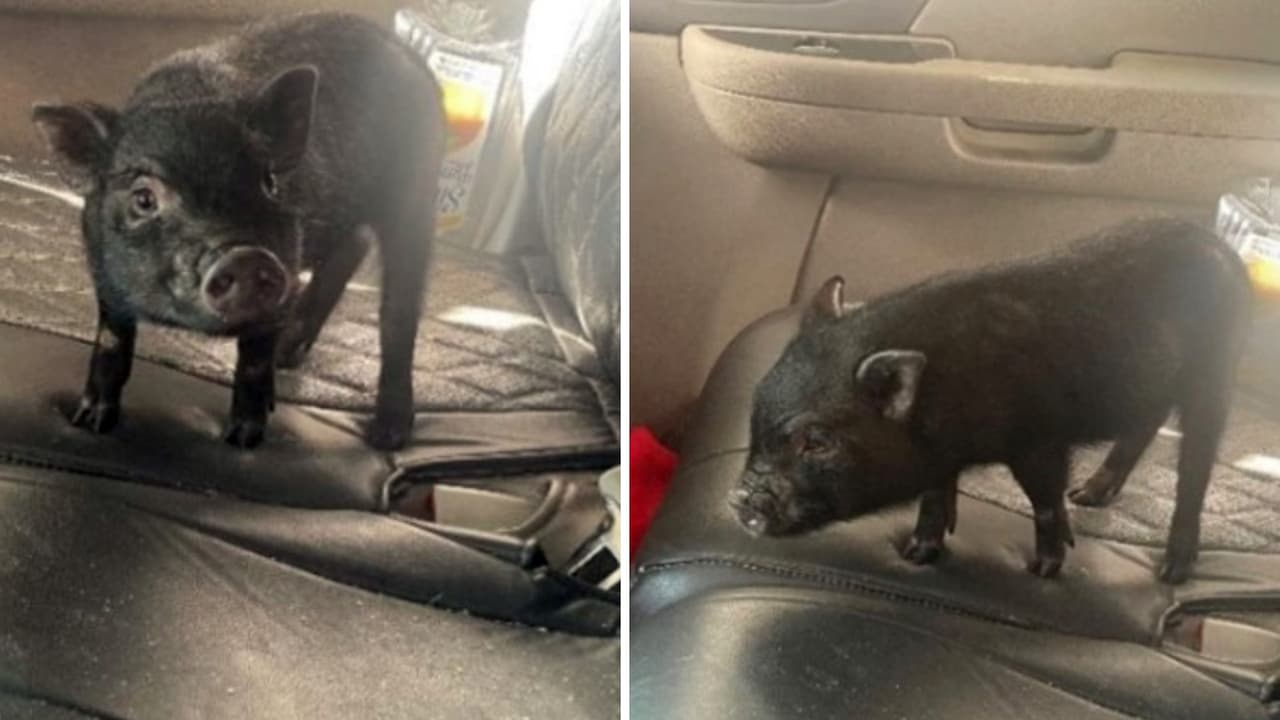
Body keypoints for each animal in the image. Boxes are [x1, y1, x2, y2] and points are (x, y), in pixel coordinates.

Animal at [31, 12, 445, 450]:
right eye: (144, 198)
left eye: (269, 182)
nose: (245, 255)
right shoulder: (104, 278)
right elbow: (112, 344)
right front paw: (88, 421)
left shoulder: (284, 275)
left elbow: (254, 362)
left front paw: (243, 440)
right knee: (351, 250)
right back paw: (289, 356)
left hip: (416, 197)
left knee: (398, 309)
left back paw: (388, 434)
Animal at [729, 218, 1251, 584]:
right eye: (754, 407)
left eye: (816, 441)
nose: (737, 498)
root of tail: (1223, 250)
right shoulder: (942, 457)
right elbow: (935, 494)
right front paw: (917, 555)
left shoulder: (1040, 440)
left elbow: (1045, 500)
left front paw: (1044, 569)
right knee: (1145, 425)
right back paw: (1089, 496)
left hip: (1216, 373)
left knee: (1196, 465)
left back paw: (1172, 572)